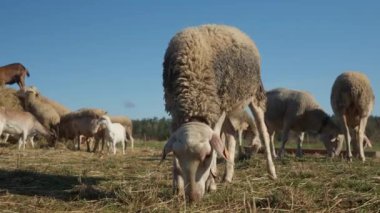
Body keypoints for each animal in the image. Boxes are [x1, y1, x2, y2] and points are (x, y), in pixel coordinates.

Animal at [160, 24, 276, 201]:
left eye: (207, 156)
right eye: (178, 155)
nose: (193, 197)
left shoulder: (217, 106)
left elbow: (216, 137)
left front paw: (211, 183)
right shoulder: (174, 109)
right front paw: (177, 187)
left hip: (253, 94)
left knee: (263, 132)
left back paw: (272, 172)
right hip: (228, 104)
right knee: (232, 133)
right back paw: (227, 176)